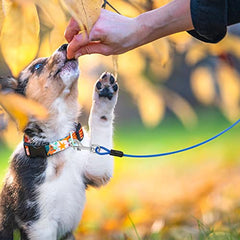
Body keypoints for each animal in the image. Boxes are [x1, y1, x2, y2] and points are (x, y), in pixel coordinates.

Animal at [0, 44, 118, 239]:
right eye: (37, 66)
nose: (65, 45)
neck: (57, 143)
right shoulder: (39, 223)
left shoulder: (97, 170)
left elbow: (101, 121)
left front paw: (105, 92)